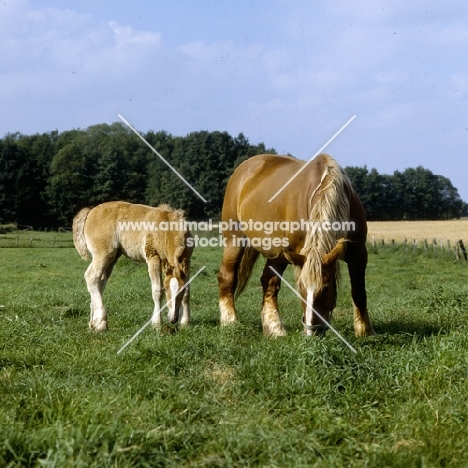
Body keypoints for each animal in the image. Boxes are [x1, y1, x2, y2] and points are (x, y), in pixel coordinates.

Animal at [218, 155, 374, 338]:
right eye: (300, 288)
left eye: (326, 288)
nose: (312, 331)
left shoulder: (359, 254)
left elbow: (359, 292)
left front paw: (365, 330)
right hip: (234, 240)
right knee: (227, 276)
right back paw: (230, 321)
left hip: (278, 254)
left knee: (269, 282)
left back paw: (275, 328)